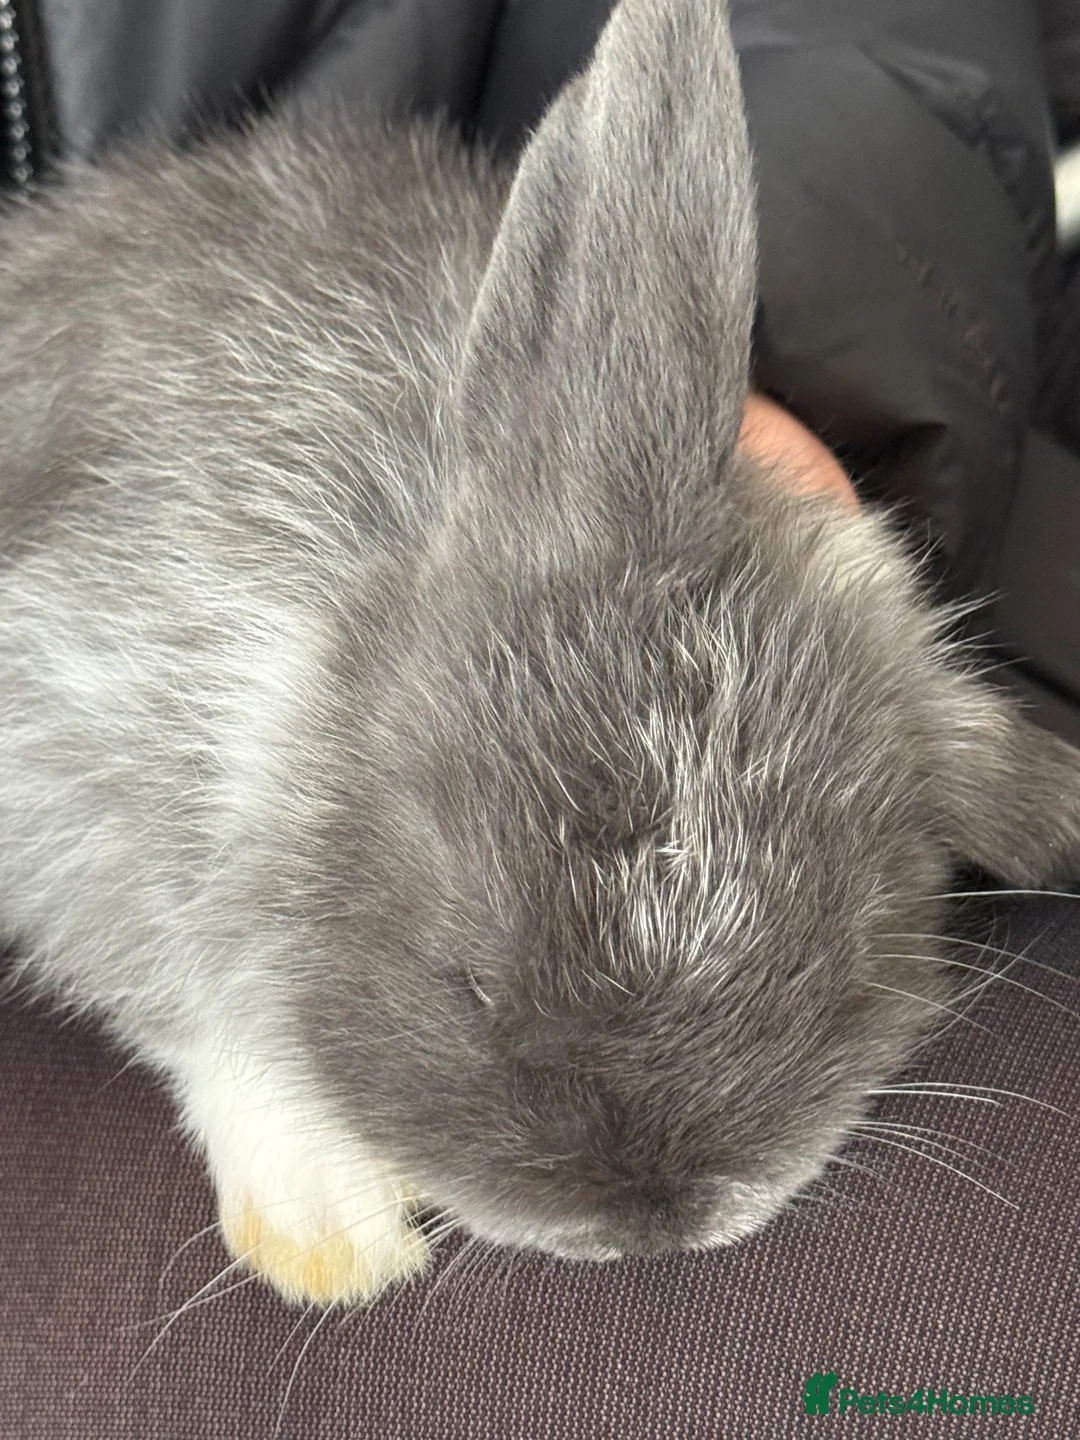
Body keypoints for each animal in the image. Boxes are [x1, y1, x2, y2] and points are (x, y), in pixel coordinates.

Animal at [2, 0, 1080, 1309]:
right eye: (467, 980)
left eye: (846, 949)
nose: (651, 1220)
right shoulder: (74, 764)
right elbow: (203, 1008)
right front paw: (328, 1235)